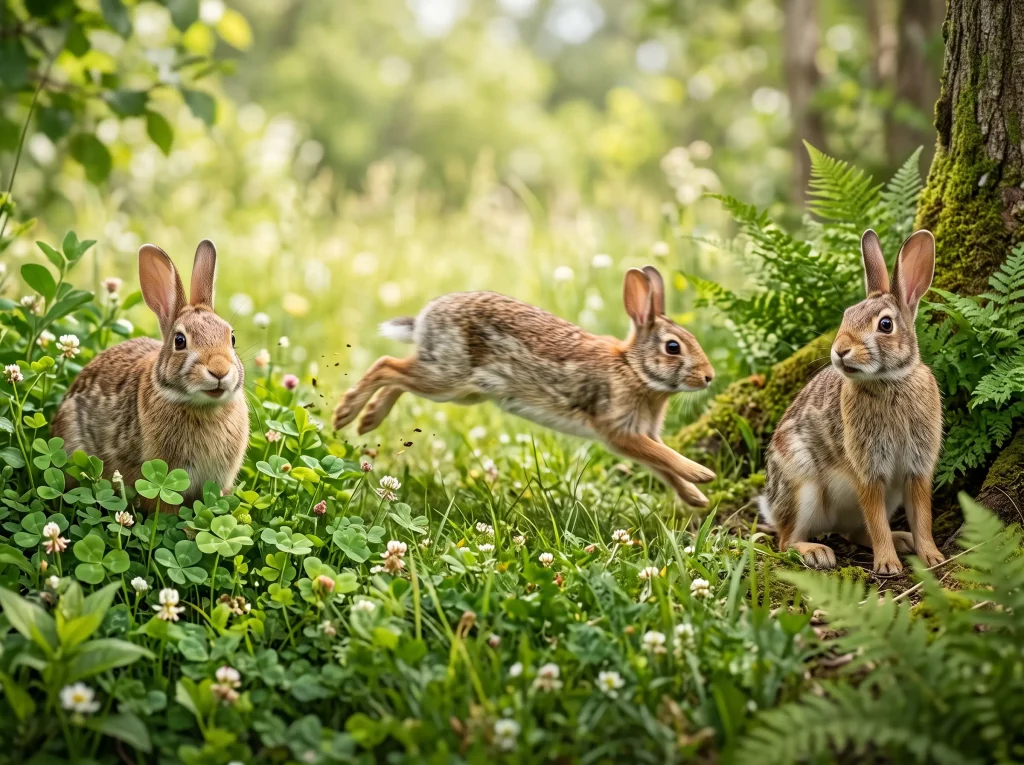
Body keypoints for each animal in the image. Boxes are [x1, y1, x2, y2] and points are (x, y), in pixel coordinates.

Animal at [333, 265, 717, 506]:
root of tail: (427, 317)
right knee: (386, 365)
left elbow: (661, 466)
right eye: (673, 347)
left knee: (399, 375)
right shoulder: (619, 431)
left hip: (461, 391)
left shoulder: (637, 439)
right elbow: (664, 457)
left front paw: (696, 497)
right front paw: (702, 475)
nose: (709, 377)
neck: (634, 369)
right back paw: (346, 413)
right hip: (447, 378)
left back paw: (369, 418)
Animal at [758, 229, 945, 575]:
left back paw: (902, 540)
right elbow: (876, 517)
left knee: (854, 532)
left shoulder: (916, 468)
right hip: (802, 484)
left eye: (885, 324)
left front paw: (931, 557)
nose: (840, 350)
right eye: (846, 316)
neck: (890, 380)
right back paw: (817, 552)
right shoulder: (868, 469)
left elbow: (921, 516)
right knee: (786, 540)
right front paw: (887, 565)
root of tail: (772, 506)